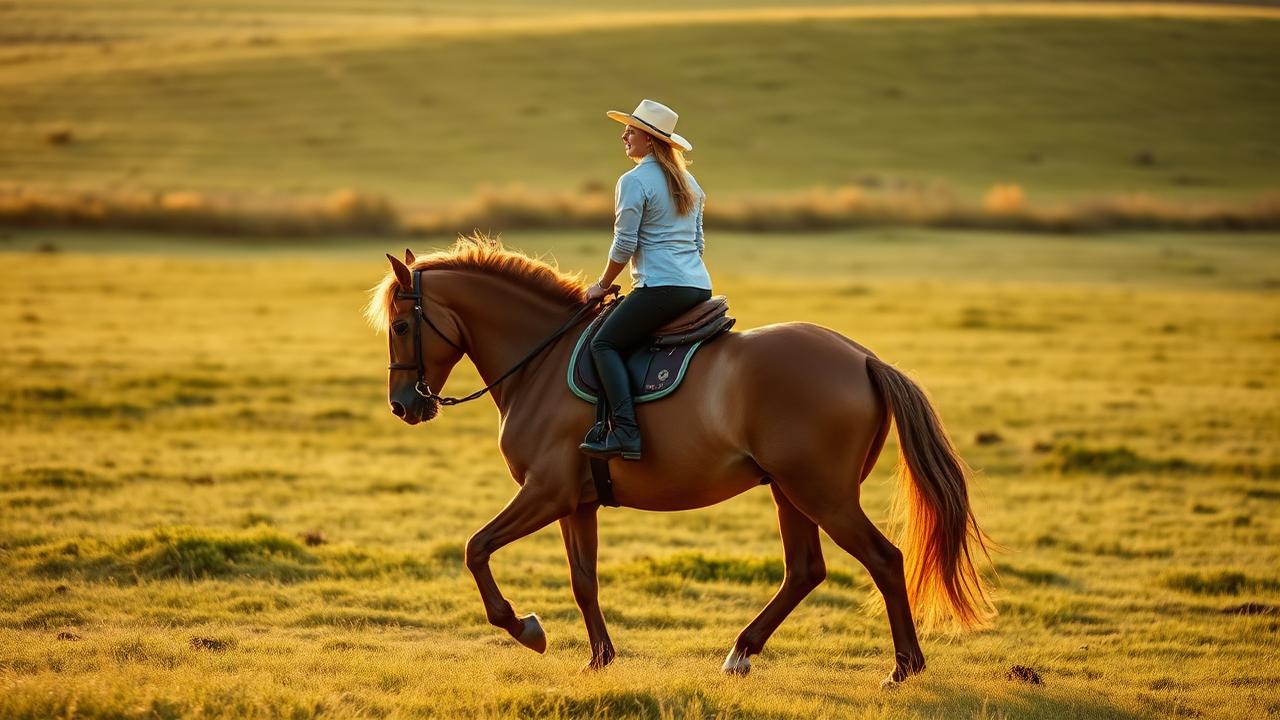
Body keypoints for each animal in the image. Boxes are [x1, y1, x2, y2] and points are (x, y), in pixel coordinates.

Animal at [364, 234, 993, 685]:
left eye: (401, 325)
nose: (402, 405)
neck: (540, 362)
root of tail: (862, 357)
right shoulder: (576, 502)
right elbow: (583, 580)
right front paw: (600, 658)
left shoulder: (545, 492)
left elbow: (477, 549)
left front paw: (526, 628)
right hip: (789, 491)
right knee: (805, 570)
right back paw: (741, 652)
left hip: (823, 495)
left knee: (884, 560)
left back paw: (904, 668)